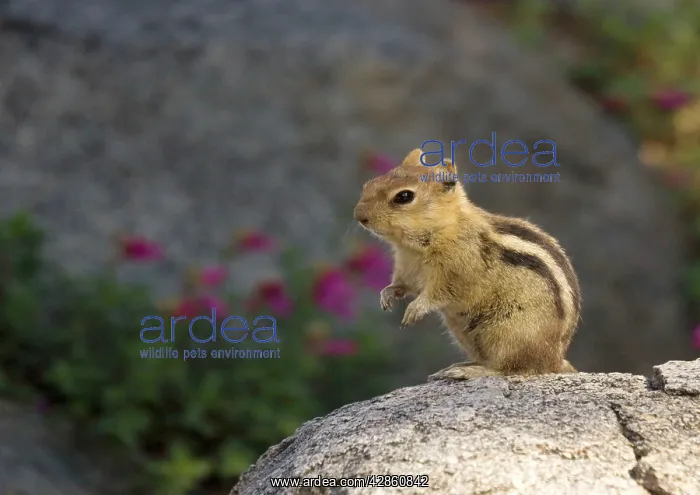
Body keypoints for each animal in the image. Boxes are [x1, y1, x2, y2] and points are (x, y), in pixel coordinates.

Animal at [353, 148, 581, 380]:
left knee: (515, 368)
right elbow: (403, 285)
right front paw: (387, 295)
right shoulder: (406, 268)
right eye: (369, 184)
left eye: (404, 197)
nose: (359, 216)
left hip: (510, 332)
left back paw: (469, 371)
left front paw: (416, 308)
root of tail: (555, 360)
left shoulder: (457, 270)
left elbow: (440, 292)